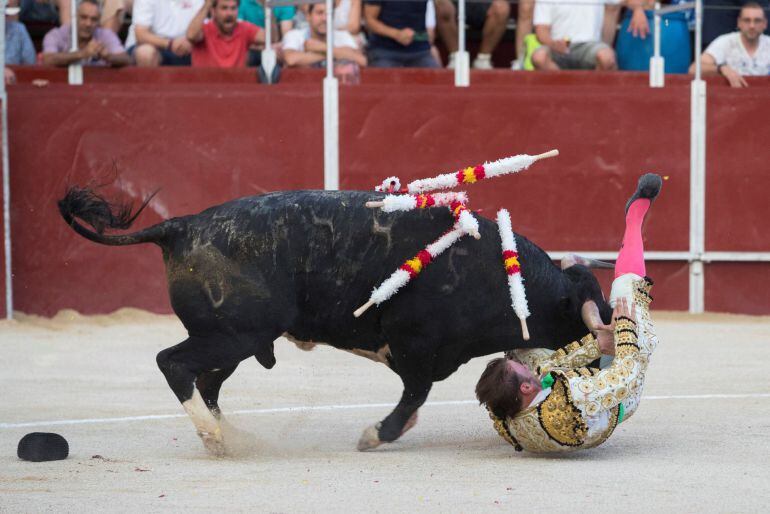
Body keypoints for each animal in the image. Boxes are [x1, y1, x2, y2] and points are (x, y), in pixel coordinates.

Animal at [58, 188, 612, 452]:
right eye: (586, 325)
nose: (604, 362)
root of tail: (181, 226)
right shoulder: (418, 348)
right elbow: (414, 396)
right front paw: (376, 435)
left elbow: (415, 395)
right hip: (231, 335)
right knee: (173, 364)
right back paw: (215, 438)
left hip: (236, 341)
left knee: (206, 383)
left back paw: (228, 438)